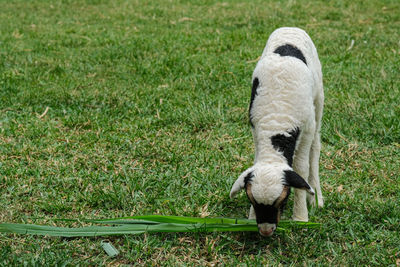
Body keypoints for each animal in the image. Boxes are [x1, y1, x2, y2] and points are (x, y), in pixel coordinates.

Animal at [230, 26, 324, 237]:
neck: (277, 122)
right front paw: (250, 218)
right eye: (251, 200)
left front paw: (301, 217)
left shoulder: (306, 129)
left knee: (316, 148)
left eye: (283, 199)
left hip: (319, 97)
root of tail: (291, 27)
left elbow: (301, 168)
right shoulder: (255, 130)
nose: (265, 231)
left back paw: (317, 197)